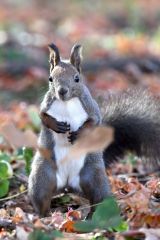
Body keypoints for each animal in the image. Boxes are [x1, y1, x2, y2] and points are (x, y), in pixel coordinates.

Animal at [28, 43, 160, 218]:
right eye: (50, 78)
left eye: (77, 78)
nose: (62, 91)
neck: (66, 102)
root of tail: (68, 185)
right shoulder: (46, 105)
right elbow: (42, 116)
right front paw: (56, 125)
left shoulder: (91, 108)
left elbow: (93, 121)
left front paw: (78, 134)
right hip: (43, 177)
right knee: (42, 197)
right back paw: (45, 217)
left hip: (94, 177)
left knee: (97, 200)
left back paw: (91, 217)